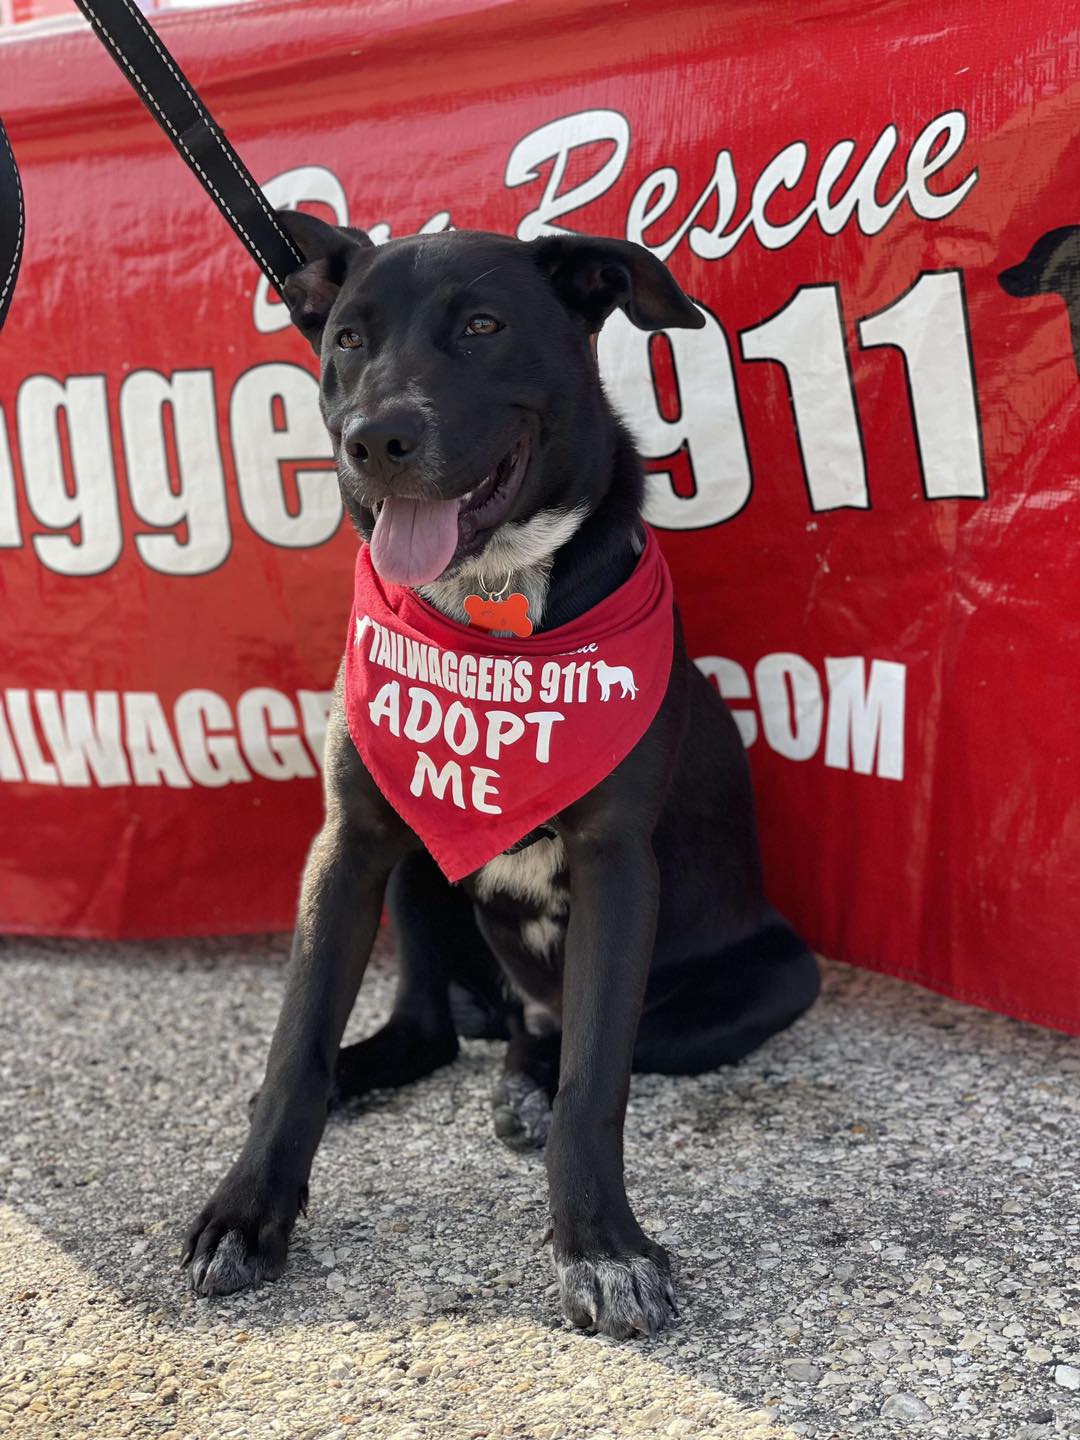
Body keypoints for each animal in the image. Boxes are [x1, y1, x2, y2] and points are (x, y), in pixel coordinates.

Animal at [184, 216, 817, 1336]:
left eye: (483, 326)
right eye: (347, 339)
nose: (376, 441)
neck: (490, 606)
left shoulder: (617, 866)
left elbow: (596, 1077)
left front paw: (602, 1247)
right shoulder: (350, 842)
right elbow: (295, 1045)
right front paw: (248, 1211)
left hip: (779, 974)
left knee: (568, 1040)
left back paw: (525, 1080)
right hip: (416, 870)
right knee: (429, 1030)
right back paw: (392, 1064)